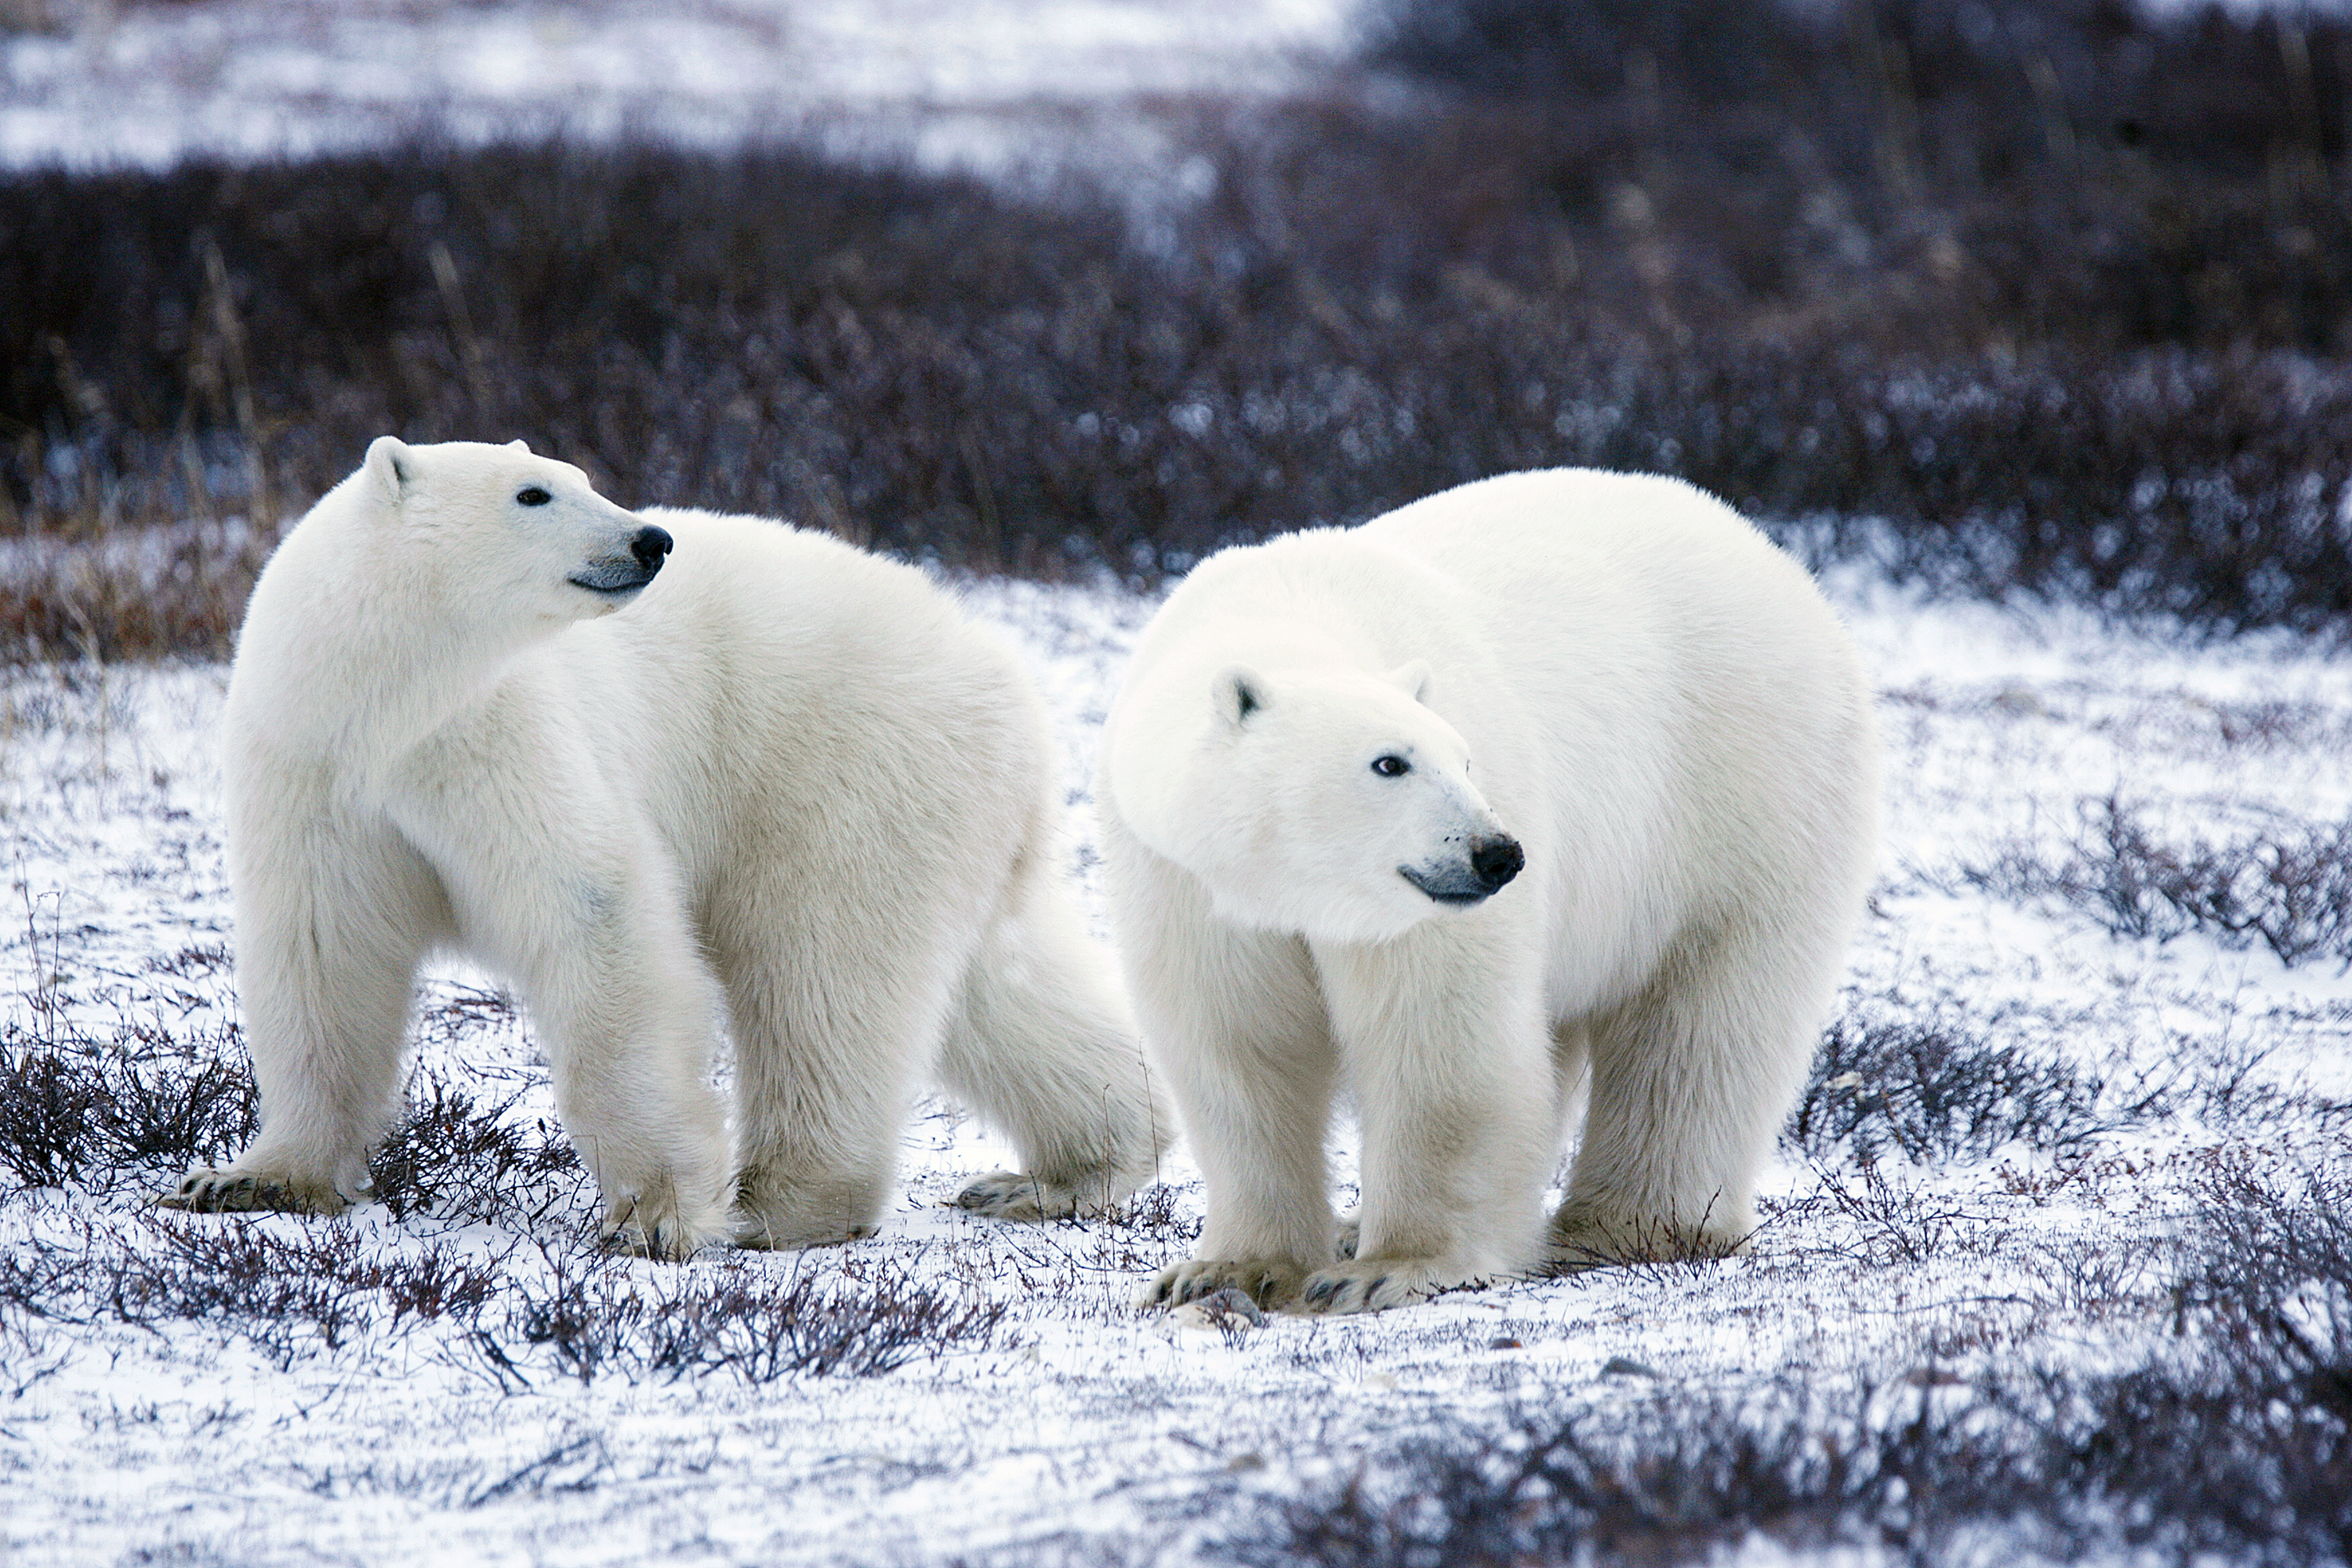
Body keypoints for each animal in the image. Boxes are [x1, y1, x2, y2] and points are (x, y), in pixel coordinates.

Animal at [161, 434, 1162, 1260]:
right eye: (534, 491)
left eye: (580, 476)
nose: (650, 540)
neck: (388, 702)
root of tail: (1009, 678)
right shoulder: (315, 769)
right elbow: (323, 952)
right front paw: (248, 1177)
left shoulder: (498, 735)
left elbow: (595, 911)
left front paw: (656, 1215)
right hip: (943, 809)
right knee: (991, 986)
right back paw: (1068, 1168)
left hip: (844, 770)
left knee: (821, 973)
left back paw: (781, 1203)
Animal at [1096, 463, 1872, 1316]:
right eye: (1390, 762)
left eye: (1463, 758)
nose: (1497, 854)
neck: (1290, 610)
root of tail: (1774, 558)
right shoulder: (1187, 880)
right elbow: (1239, 1046)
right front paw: (1227, 1269)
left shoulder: (1420, 909)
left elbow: (1441, 1040)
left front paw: (1387, 1268)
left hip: (1743, 791)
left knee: (1701, 1026)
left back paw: (1624, 1226)